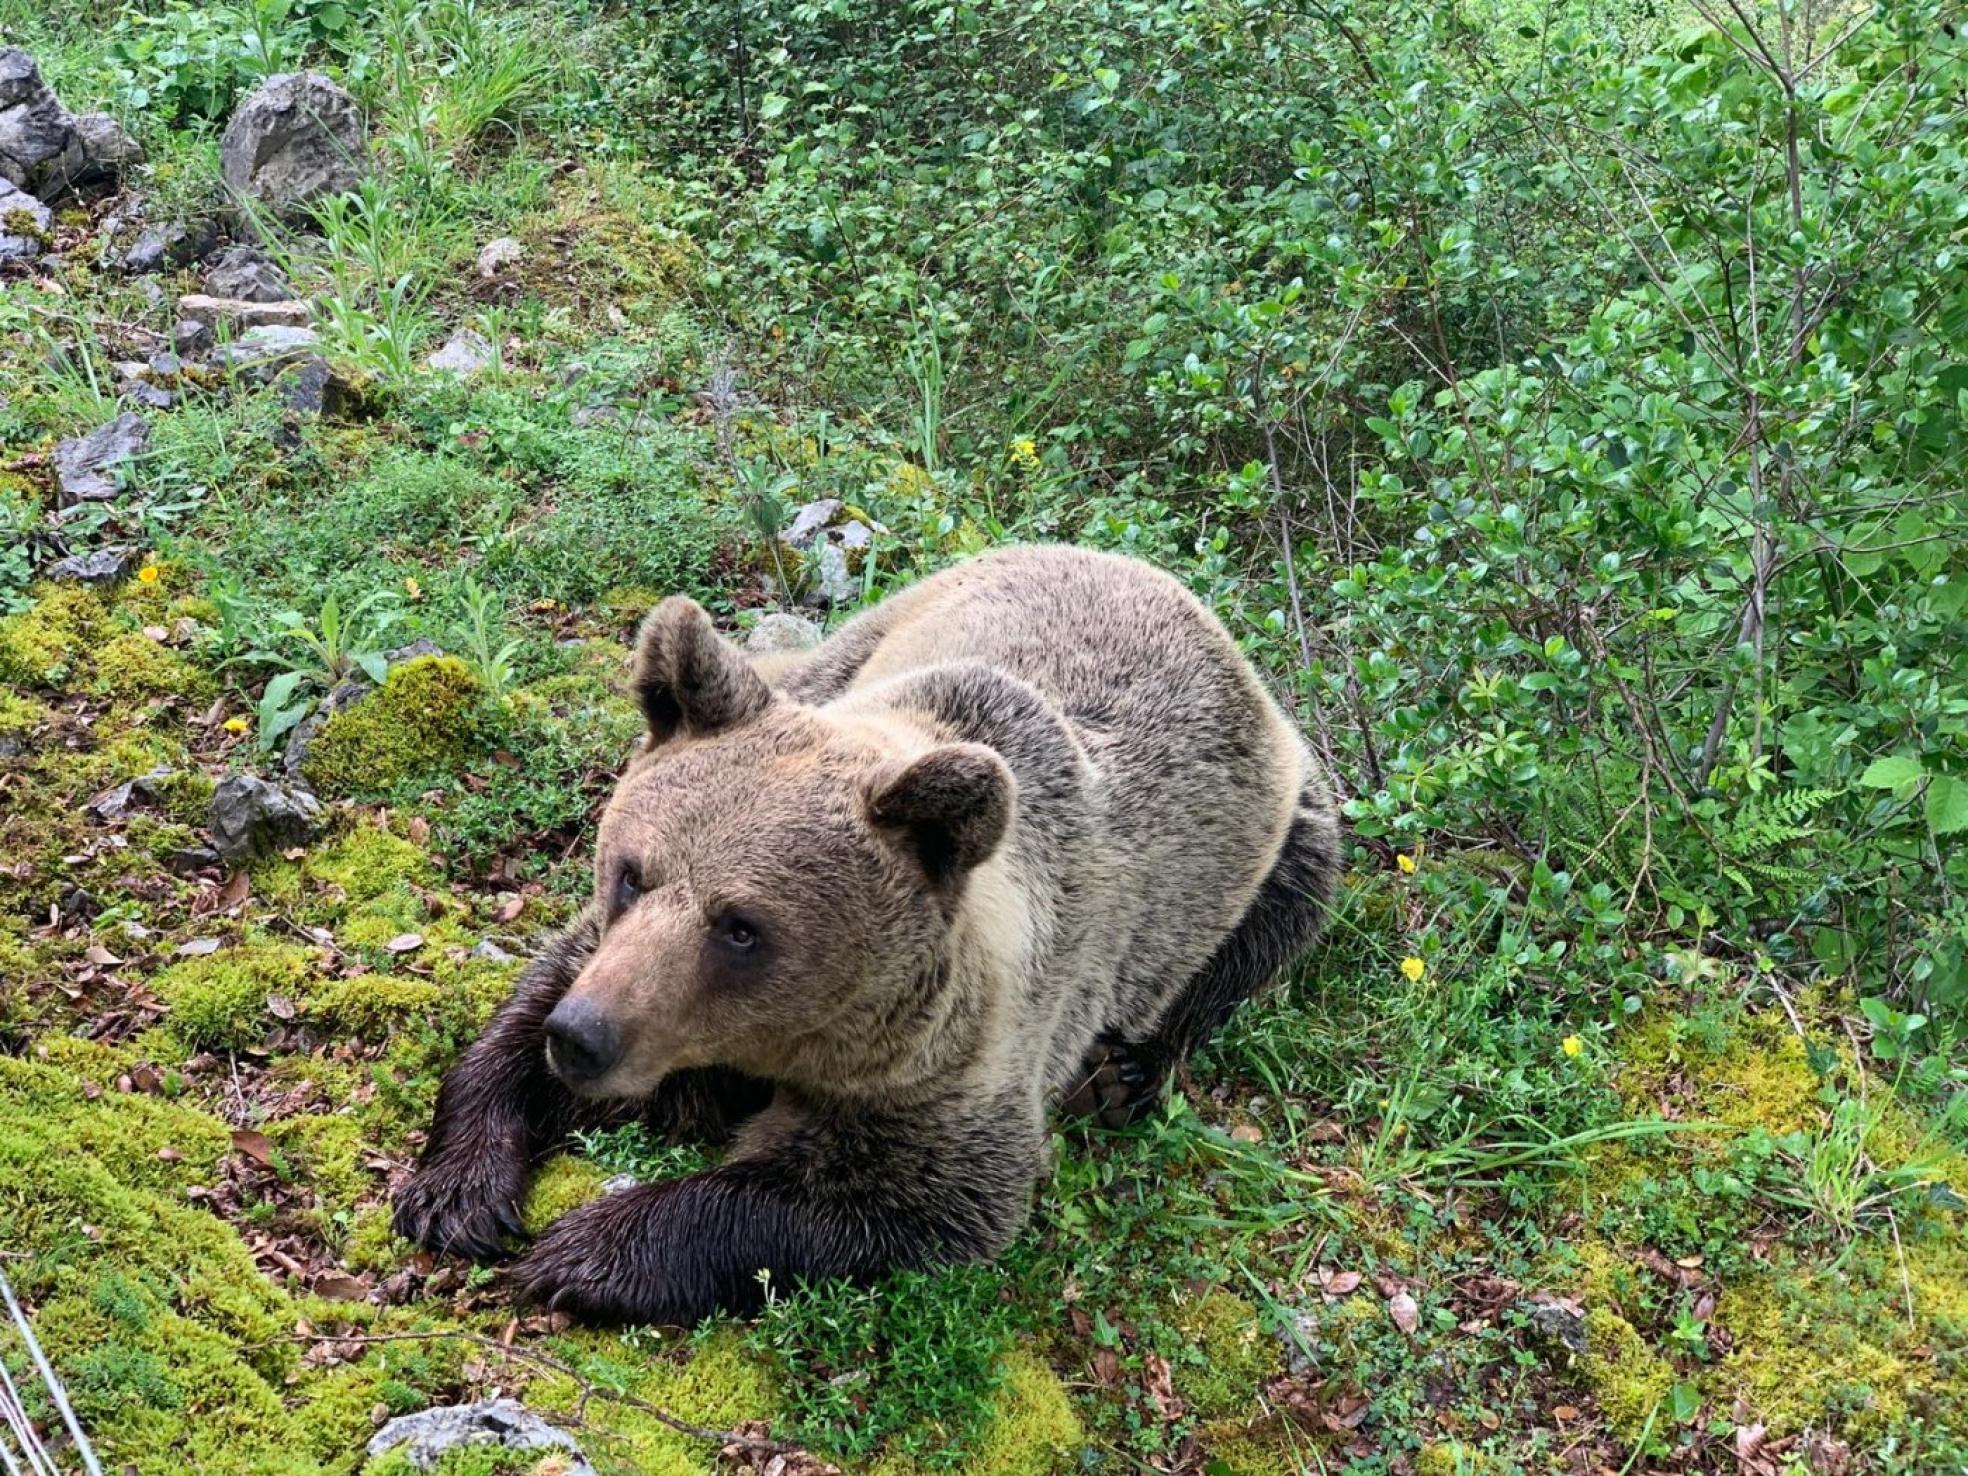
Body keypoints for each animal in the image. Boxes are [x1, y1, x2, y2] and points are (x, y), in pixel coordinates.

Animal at [387, 547, 1338, 1330]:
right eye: (631, 872)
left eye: (741, 928)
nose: (585, 1039)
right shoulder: (608, 952)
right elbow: (531, 1000)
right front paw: (457, 1192)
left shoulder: (961, 1059)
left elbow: (903, 1199)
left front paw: (586, 1252)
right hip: (860, 635)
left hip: (1280, 826)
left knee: (1268, 926)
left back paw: (1129, 1070)